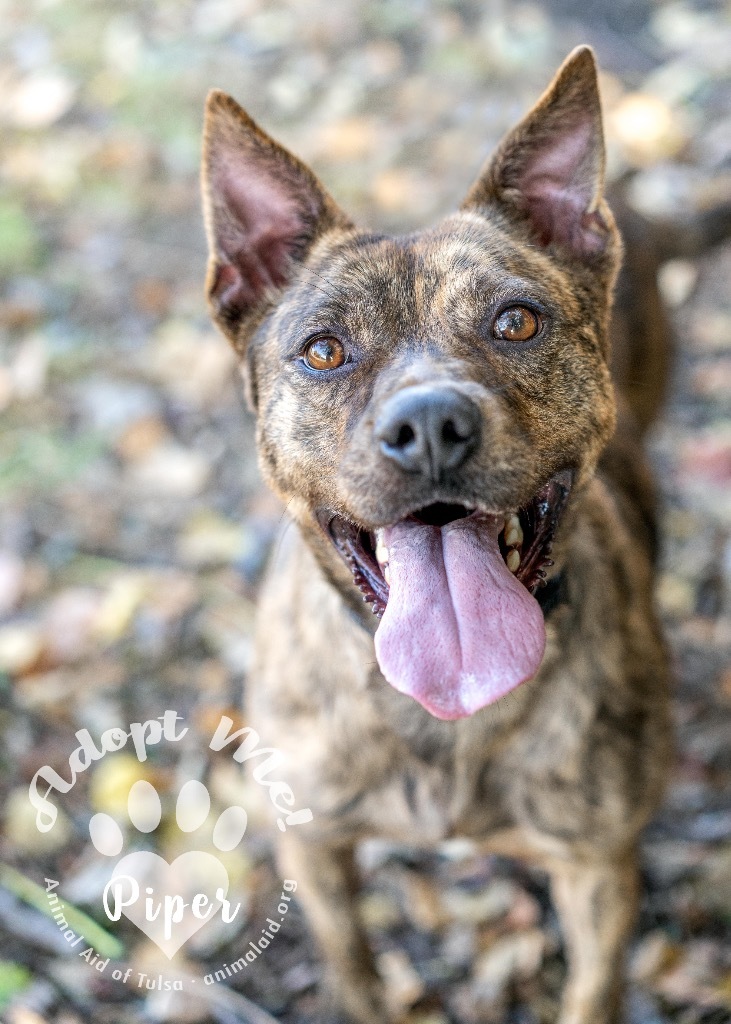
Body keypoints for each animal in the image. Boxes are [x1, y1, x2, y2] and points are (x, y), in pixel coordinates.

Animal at [199, 46, 671, 1024]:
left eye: (516, 320)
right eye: (324, 350)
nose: (428, 426)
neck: (444, 715)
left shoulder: (600, 868)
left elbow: (591, 990)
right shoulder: (314, 847)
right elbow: (354, 967)